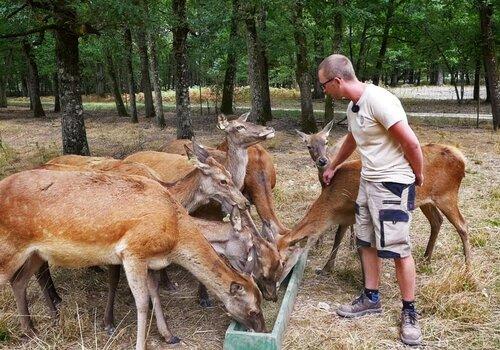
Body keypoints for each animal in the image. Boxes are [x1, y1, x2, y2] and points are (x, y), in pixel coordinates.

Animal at [0, 168, 268, 348]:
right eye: (254, 309)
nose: (263, 330)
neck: (175, 234)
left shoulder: (151, 260)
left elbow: (155, 293)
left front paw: (168, 335)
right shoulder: (133, 252)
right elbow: (142, 302)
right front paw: (141, 343)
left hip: (35, 252)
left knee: (19, 280)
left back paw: (31, 330)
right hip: (8, 248)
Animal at [288, 123, 470, 274]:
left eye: (326, 142)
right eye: (308, 145)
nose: (322, 160)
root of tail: (462, 159)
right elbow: (339, 237)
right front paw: (327, 268)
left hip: (447, 194)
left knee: (462, 225)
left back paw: (468, 269)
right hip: (426, 200)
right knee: (437, 221)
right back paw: (426, 259)